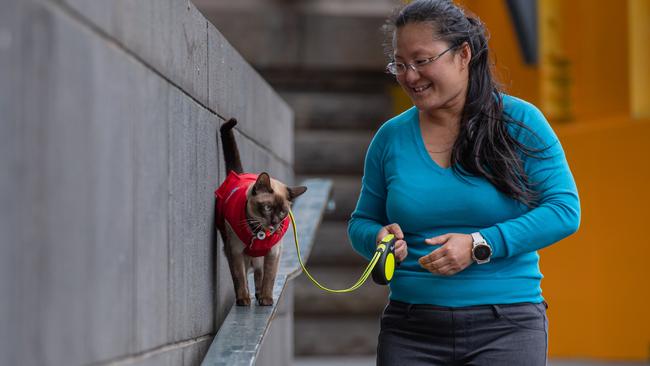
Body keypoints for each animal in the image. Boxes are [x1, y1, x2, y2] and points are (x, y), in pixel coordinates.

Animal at [215, 118, 306, 306]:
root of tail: (240, 174)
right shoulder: (235, 251)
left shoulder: (273, 252)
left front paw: (266, 299)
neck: (259, 233)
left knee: (258, 272)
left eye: (283, 212)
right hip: (233, 249)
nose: (274, 223)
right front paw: (243, 299)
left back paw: (258, 295)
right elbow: (239, 278)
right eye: (268, 208)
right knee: (247, 272)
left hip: (259, 256)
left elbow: (269, 278)